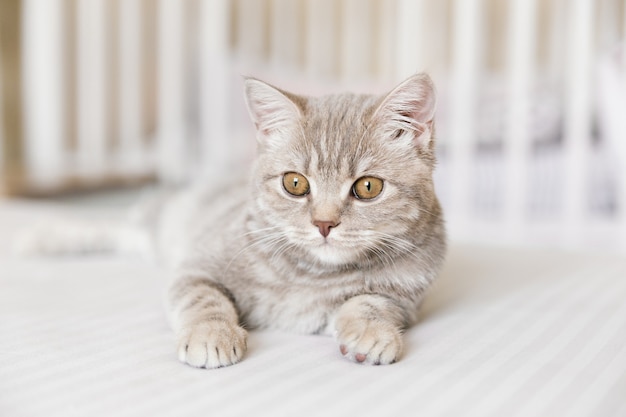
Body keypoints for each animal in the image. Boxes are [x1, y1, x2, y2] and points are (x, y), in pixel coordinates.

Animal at [158, 72, 446, 368]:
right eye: (295, 183)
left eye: (368, 187)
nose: (324, 223)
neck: (314, 274)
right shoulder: (198, 266)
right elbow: (203, 297)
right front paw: (211, 332)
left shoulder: (407, 300)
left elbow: (373, 301)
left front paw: (371, 330)